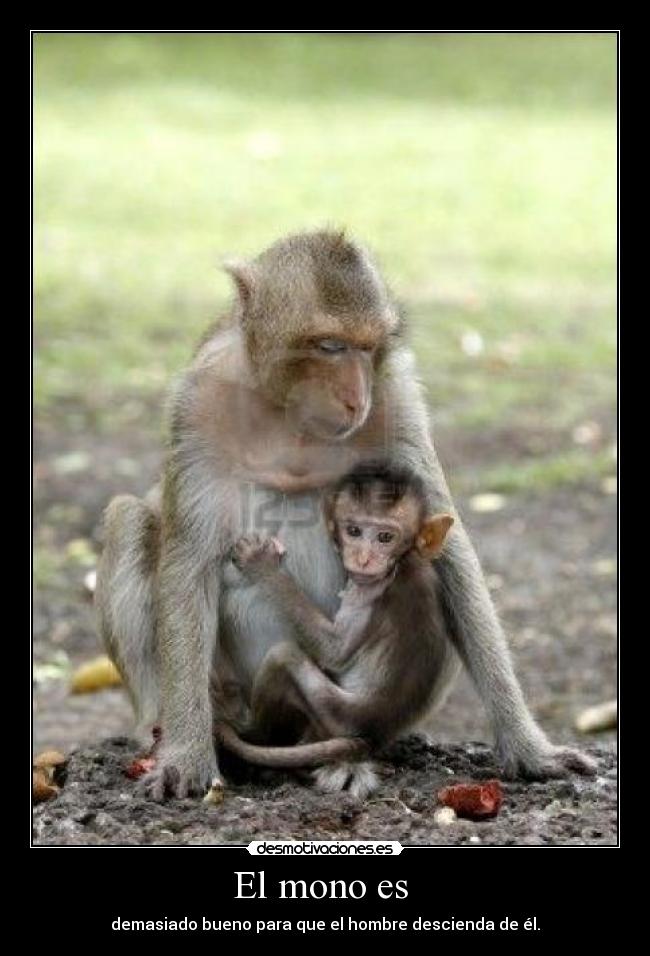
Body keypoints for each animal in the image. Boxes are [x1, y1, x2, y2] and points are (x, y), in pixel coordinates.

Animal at [212, 463, 458, 797]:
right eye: (353, 531)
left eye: (385, 537)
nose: (364, 558)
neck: (403, 561)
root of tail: (371, 736)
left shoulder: (367, 592)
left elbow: (334, 651)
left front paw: (262, 565)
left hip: (333, 713)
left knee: (284, 658)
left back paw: (253, 733)